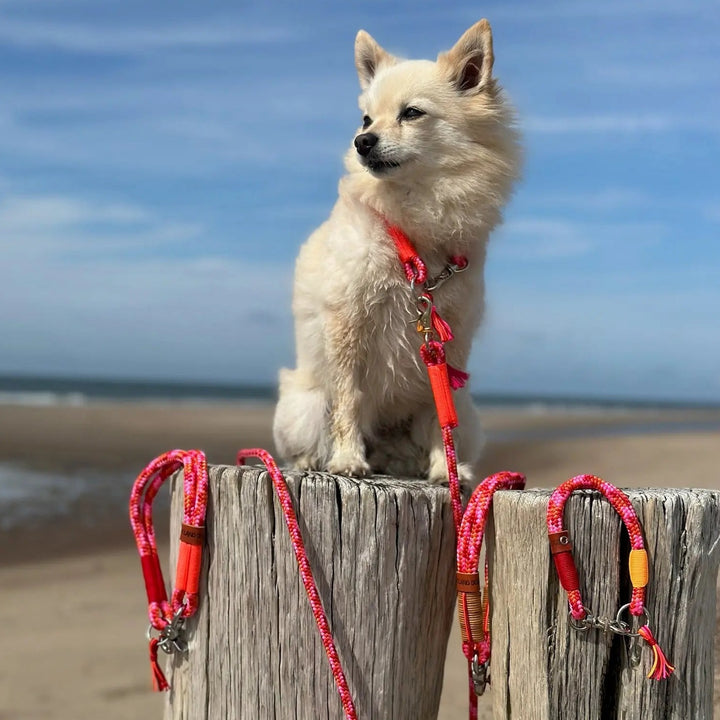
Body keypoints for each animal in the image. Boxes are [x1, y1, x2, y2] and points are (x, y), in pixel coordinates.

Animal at [272, 21, 520, 484]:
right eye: (366, 118)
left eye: (412, 113)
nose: (361, 141)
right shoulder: (346, 323)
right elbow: (348, 400)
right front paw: (347, 460)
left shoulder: (447, 346)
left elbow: (442, 418)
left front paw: (446, 470)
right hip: (304, 405)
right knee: (310, 434)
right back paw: (316, 460)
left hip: (467, 417)